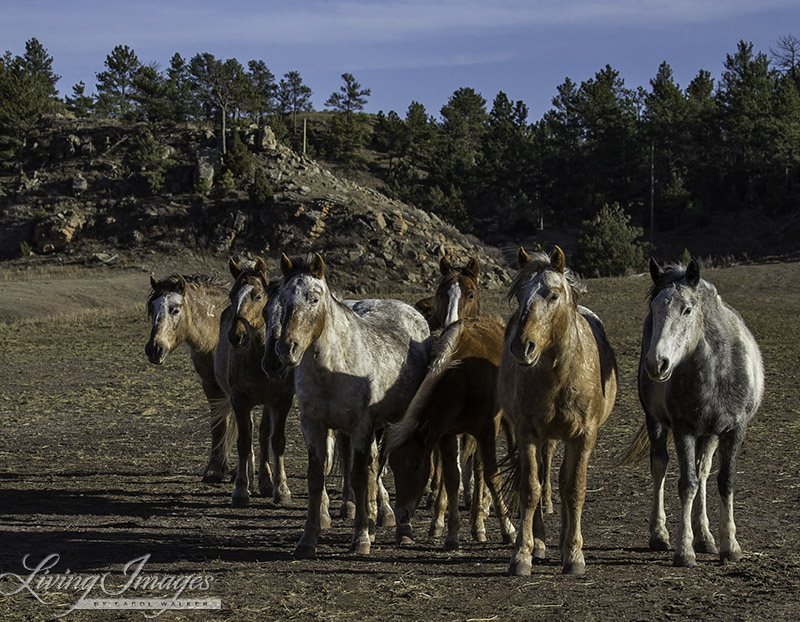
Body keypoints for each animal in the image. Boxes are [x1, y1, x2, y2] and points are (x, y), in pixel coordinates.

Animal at [145, 272, 233, 482]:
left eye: (175, 309)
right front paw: (215, 469)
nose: (154, 349)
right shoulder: (211, 386)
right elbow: (219, 424)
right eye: (151, 309)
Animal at [214, 256, 296, 510]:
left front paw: (281, 489)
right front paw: (241, 490)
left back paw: (266, 481)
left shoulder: (281, 401)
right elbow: (243, 442)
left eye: (258, 296)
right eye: (232, 295)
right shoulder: (240, 400)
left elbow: (276, 441)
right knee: (249, 438)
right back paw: (250, 478)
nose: (236, 336)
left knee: (263, 435)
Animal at [276, 254, 432, 560]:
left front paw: (360, 539)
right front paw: (307, 540)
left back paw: (400, 529)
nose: (288, 348)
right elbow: (316, 479)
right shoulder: (313, 426)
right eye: (282, 299)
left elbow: (359, 477)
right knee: (374, 466)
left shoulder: (361, 427)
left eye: (314, 299)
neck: (332, 370)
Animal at [384, 316, 516, 552]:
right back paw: (474, 524)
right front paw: (452, 535)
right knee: (476, 469)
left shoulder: (487, 430)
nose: (401, 514)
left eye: (416, 465)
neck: (463, 379)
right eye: (394, 467)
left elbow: (493, 476)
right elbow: (452, 478)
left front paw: (508, 529)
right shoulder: (446, 434)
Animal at [500, 246, 620, 576]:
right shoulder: (528, 433)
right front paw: (523, 554)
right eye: (520, 295)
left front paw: (575, 553)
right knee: (542, 479)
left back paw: (566, 543)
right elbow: (531, 489)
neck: (560, 375)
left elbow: (575, 489)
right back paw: (541, 542)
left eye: (552, 294)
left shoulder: (584, 437)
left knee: (566, 483)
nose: (522, 347)